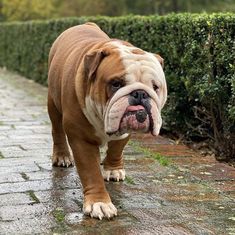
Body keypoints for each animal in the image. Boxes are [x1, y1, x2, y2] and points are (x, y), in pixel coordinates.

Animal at [47, 22, 167, 220]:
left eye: (155, 87)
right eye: (116, 84)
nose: (140, 94)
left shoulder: (123, 131)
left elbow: (117, 148)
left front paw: (112, 169)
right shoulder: (81, 139)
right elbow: (91, 171)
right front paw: (100, 203)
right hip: (53, 104)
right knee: (57, 131)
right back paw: (62, 156)